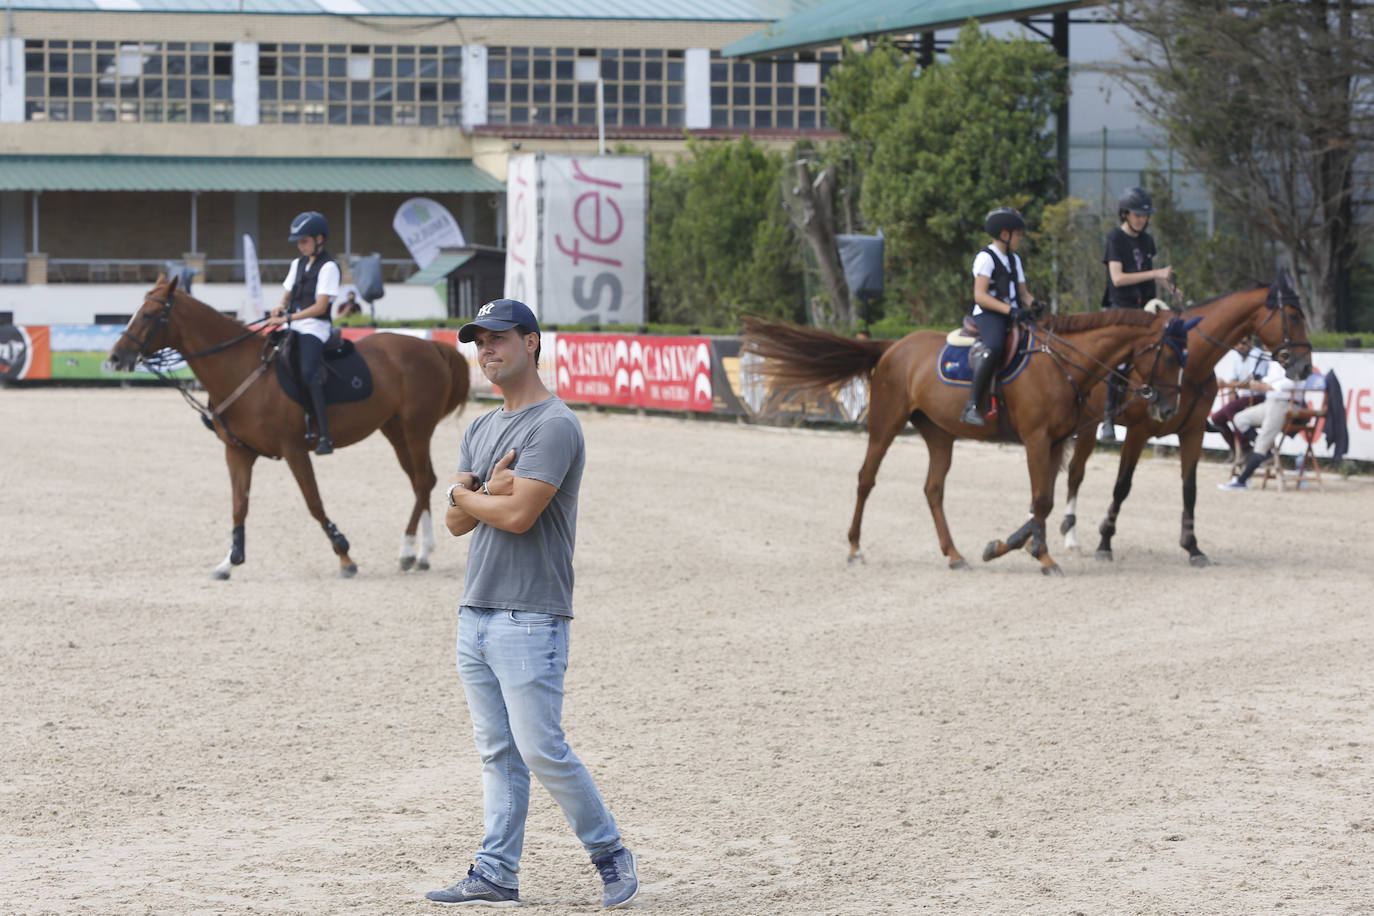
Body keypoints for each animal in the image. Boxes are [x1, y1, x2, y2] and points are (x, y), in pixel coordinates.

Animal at [104, 271, 469, 576]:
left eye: (149, 315)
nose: (115, 358)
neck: (241, 367)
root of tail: (429, 346)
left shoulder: (295, 450)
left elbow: (314, 502)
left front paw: (345, 555)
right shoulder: (238, 452)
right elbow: (239, 505)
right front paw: (230, 560)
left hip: (416, 427)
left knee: (422, 480)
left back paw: (409, 550)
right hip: (394, 429)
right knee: (421, 482)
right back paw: (422, 553)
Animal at [747, 311, 1198, 576]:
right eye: (1168, 357)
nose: (1169, 407)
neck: (1061, 364)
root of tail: (893, 346)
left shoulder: (1055, 443)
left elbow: (1045, 500)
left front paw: (1012, 546)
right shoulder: (1037, 440)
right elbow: (1041, 499)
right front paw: (1040, 555)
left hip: (939, 433)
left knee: (933, 489)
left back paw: (955, 554)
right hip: (885, 424)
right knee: (866, 479)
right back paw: (855, 548)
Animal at [1055, 270, 1313, 565]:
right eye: (1293, 316)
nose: (1306, 366)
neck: (1189, 365)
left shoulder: (1193, 431)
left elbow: (1190, 489)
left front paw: (1192, 547)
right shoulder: (1138, 432)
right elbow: (1122, 486)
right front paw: (1105, 542)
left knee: (1072, 471)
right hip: (1087, 425)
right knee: (1075, 473)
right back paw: (1069, 538)